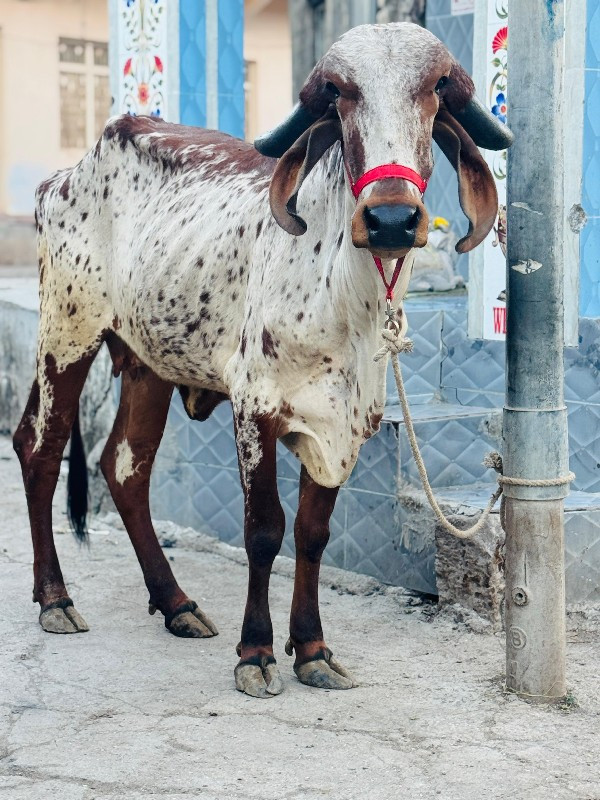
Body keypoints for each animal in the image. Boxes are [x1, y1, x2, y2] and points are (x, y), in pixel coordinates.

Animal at [14, 21, 510, 696]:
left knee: (124, 469)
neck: (345, 300)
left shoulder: (344, 427)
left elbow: (312, 534)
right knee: (40, 449)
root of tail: (63, 178)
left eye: (434, 92)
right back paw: (56, 598)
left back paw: (176, 603)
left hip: (149, 364)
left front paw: (312, 649)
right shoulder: (255, 410)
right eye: (340, 95)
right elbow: (264, 531)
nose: (391, 219)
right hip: (68, 334)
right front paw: (257, 651)